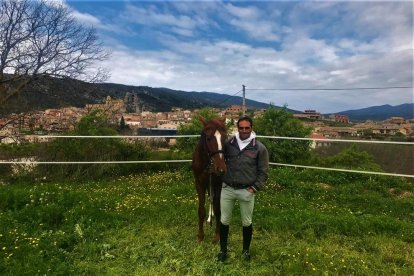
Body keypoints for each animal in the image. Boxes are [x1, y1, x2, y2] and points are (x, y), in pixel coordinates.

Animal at [192, 115, 228, 243]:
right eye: (208, 138)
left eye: (225, 138)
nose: (221, 169)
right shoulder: (199, 183)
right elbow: (201, 210)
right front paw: (200, 236)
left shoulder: (218, 184)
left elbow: (218, 209)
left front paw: (217, 235)